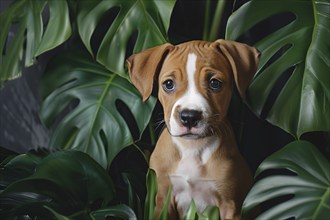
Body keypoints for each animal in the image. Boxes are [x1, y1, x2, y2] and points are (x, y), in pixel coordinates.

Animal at [127, 39, 260, 220]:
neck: (192, 148)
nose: (189, 116)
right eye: (168, 84)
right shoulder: (162, 200)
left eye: (215, 83)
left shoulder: (231, 206)